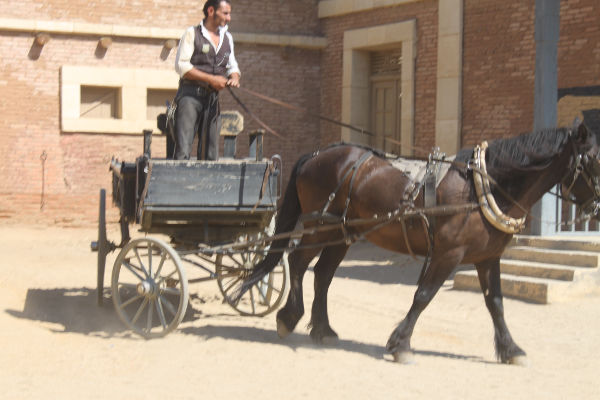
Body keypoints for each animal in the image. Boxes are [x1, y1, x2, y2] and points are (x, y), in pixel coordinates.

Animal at [239, 122, 600, 364]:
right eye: (595, 159)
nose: (596, 208)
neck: (483, 188)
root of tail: (318, 153)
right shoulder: (448, 254)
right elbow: (424, 295)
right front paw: (400, 344)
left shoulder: (488, 257)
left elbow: (495, 303)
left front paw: (511, 349)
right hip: (320, 227)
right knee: (298, 263)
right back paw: (289, 317)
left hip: (343, 233)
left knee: (323, 274)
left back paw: (322, 329)